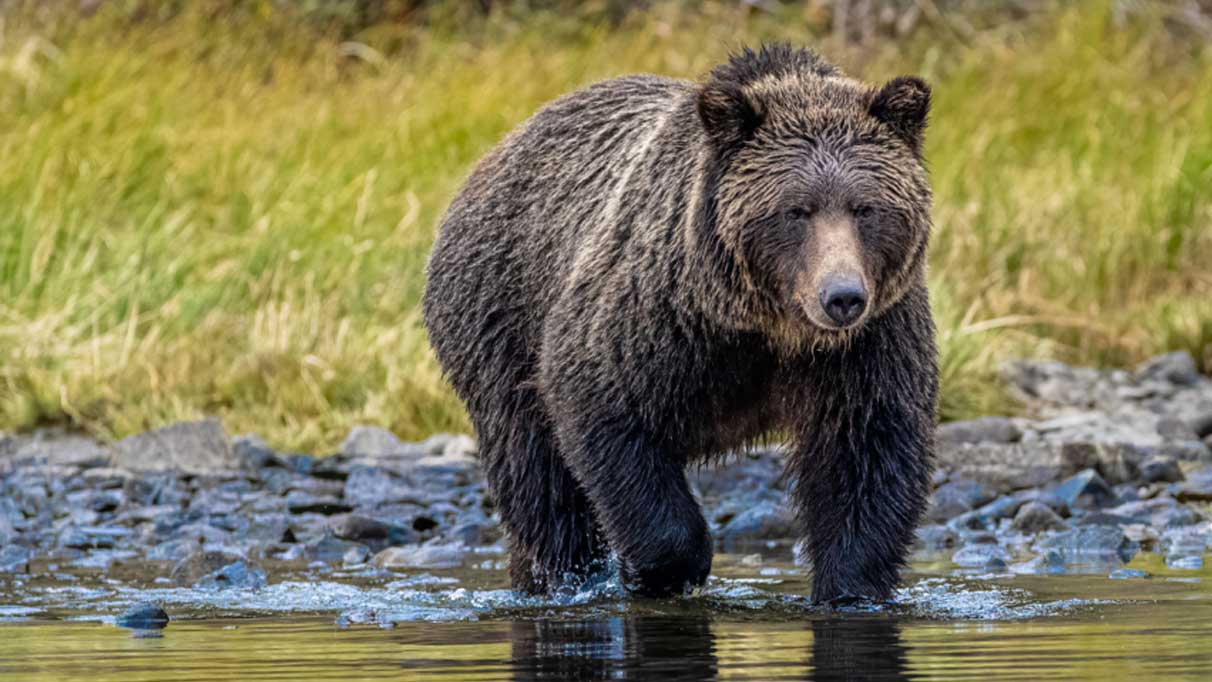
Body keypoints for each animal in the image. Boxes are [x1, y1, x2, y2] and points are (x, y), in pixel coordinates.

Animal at [424, 45, 935, 605]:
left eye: (865, 208)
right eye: (796, 210)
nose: (842, 297)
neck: (768, 328)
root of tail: (493, 156)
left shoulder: (868, 345)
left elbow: (866, 455)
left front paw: (849, 587)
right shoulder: (656, 318)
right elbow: (603, 407)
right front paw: (661, 569)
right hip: (499, 313)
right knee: (538, 477)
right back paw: (562, 577)